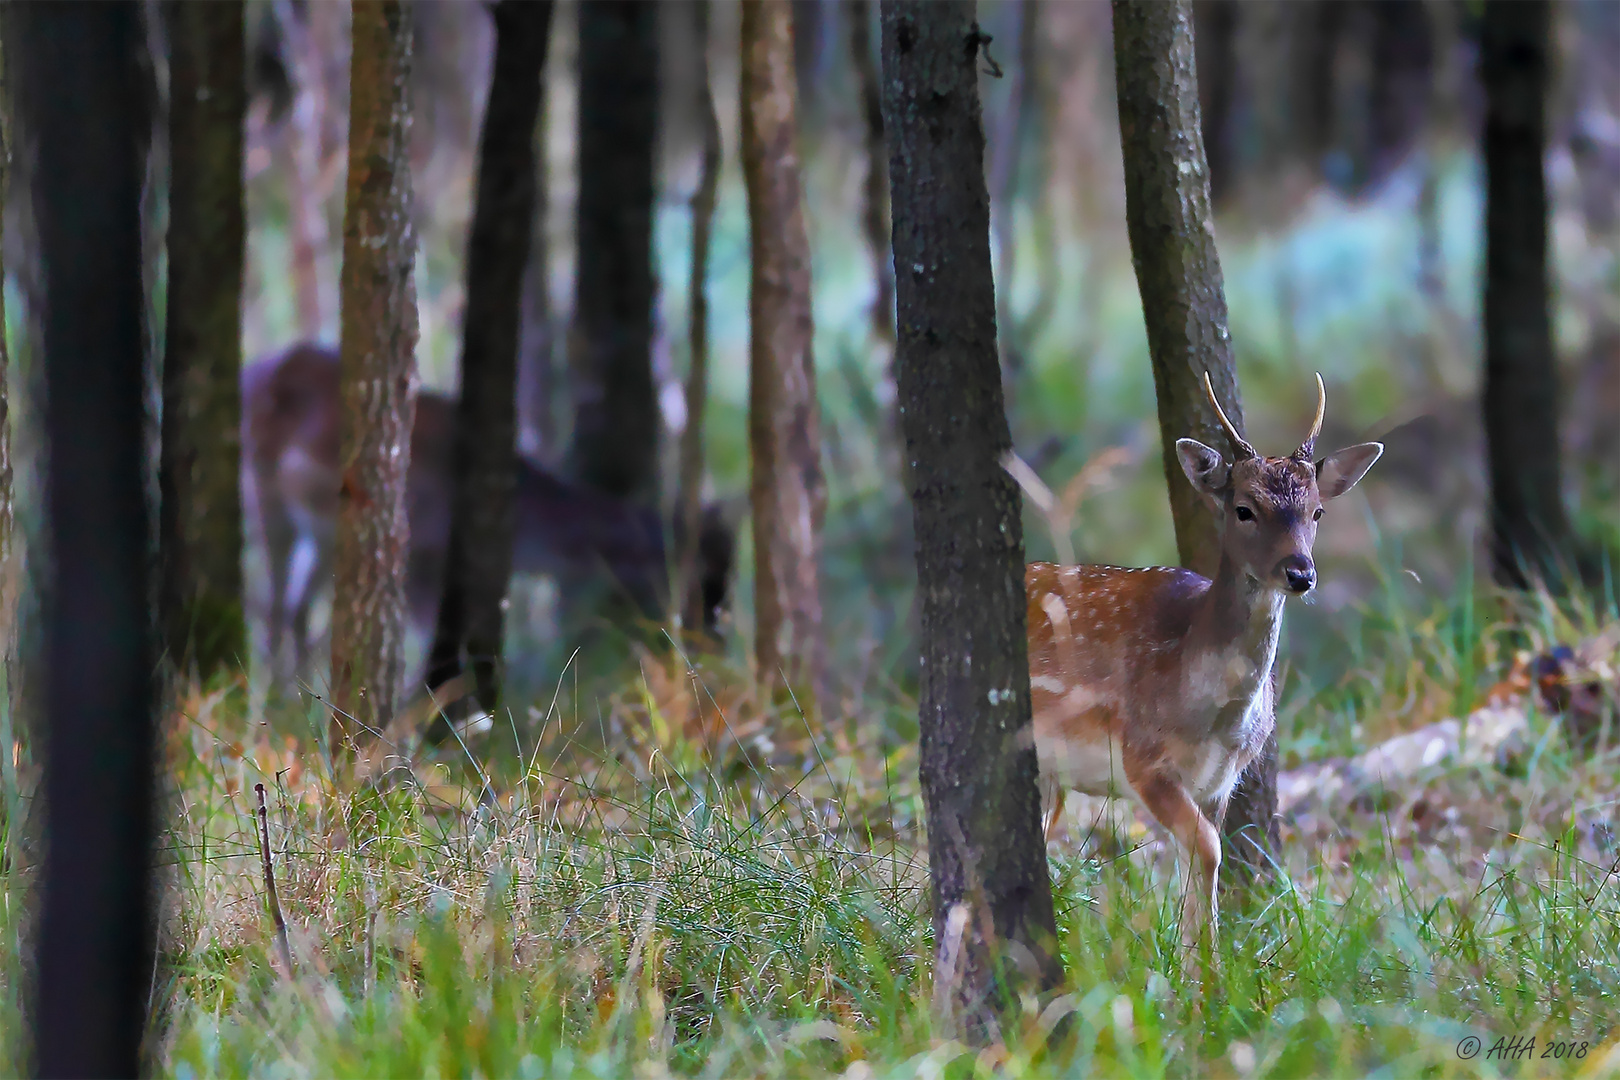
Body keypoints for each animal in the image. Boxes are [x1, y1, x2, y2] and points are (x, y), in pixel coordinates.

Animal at [239, 344, 735, 676]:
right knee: (273, 608)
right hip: (264, 496)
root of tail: (247, 370)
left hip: (321, 533)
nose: (716, 643)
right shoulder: (422, 556)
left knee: (295, 609)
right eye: (705, 576)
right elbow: (433, 645)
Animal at [1023, 375, 1380, 952]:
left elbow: (1200, 866)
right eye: (1244, 508)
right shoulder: (1142, 758)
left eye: (1317, 511)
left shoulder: (1221, 781)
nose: (1300, 573)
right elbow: (1209, 849)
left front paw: (1202, 966)